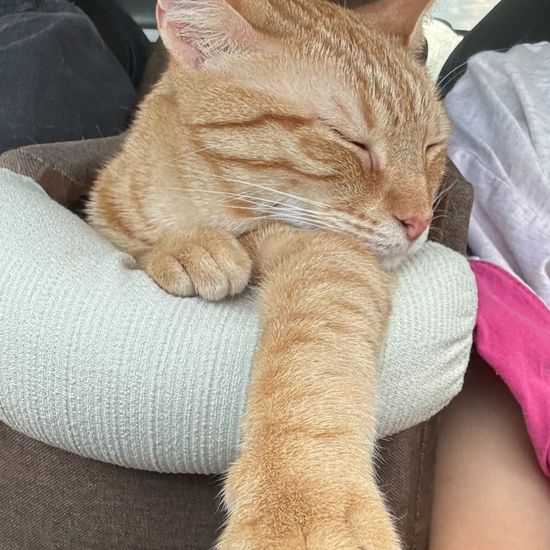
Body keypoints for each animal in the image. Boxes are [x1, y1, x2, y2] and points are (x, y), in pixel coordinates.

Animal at [86, 1, 448, 548]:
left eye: (431, 147)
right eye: (350, 141)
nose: (420, 221)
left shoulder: (327, 253)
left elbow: (310, 366)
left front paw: (302, 496)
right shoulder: (104, 212)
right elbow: (138, 241)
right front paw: (187, 248)